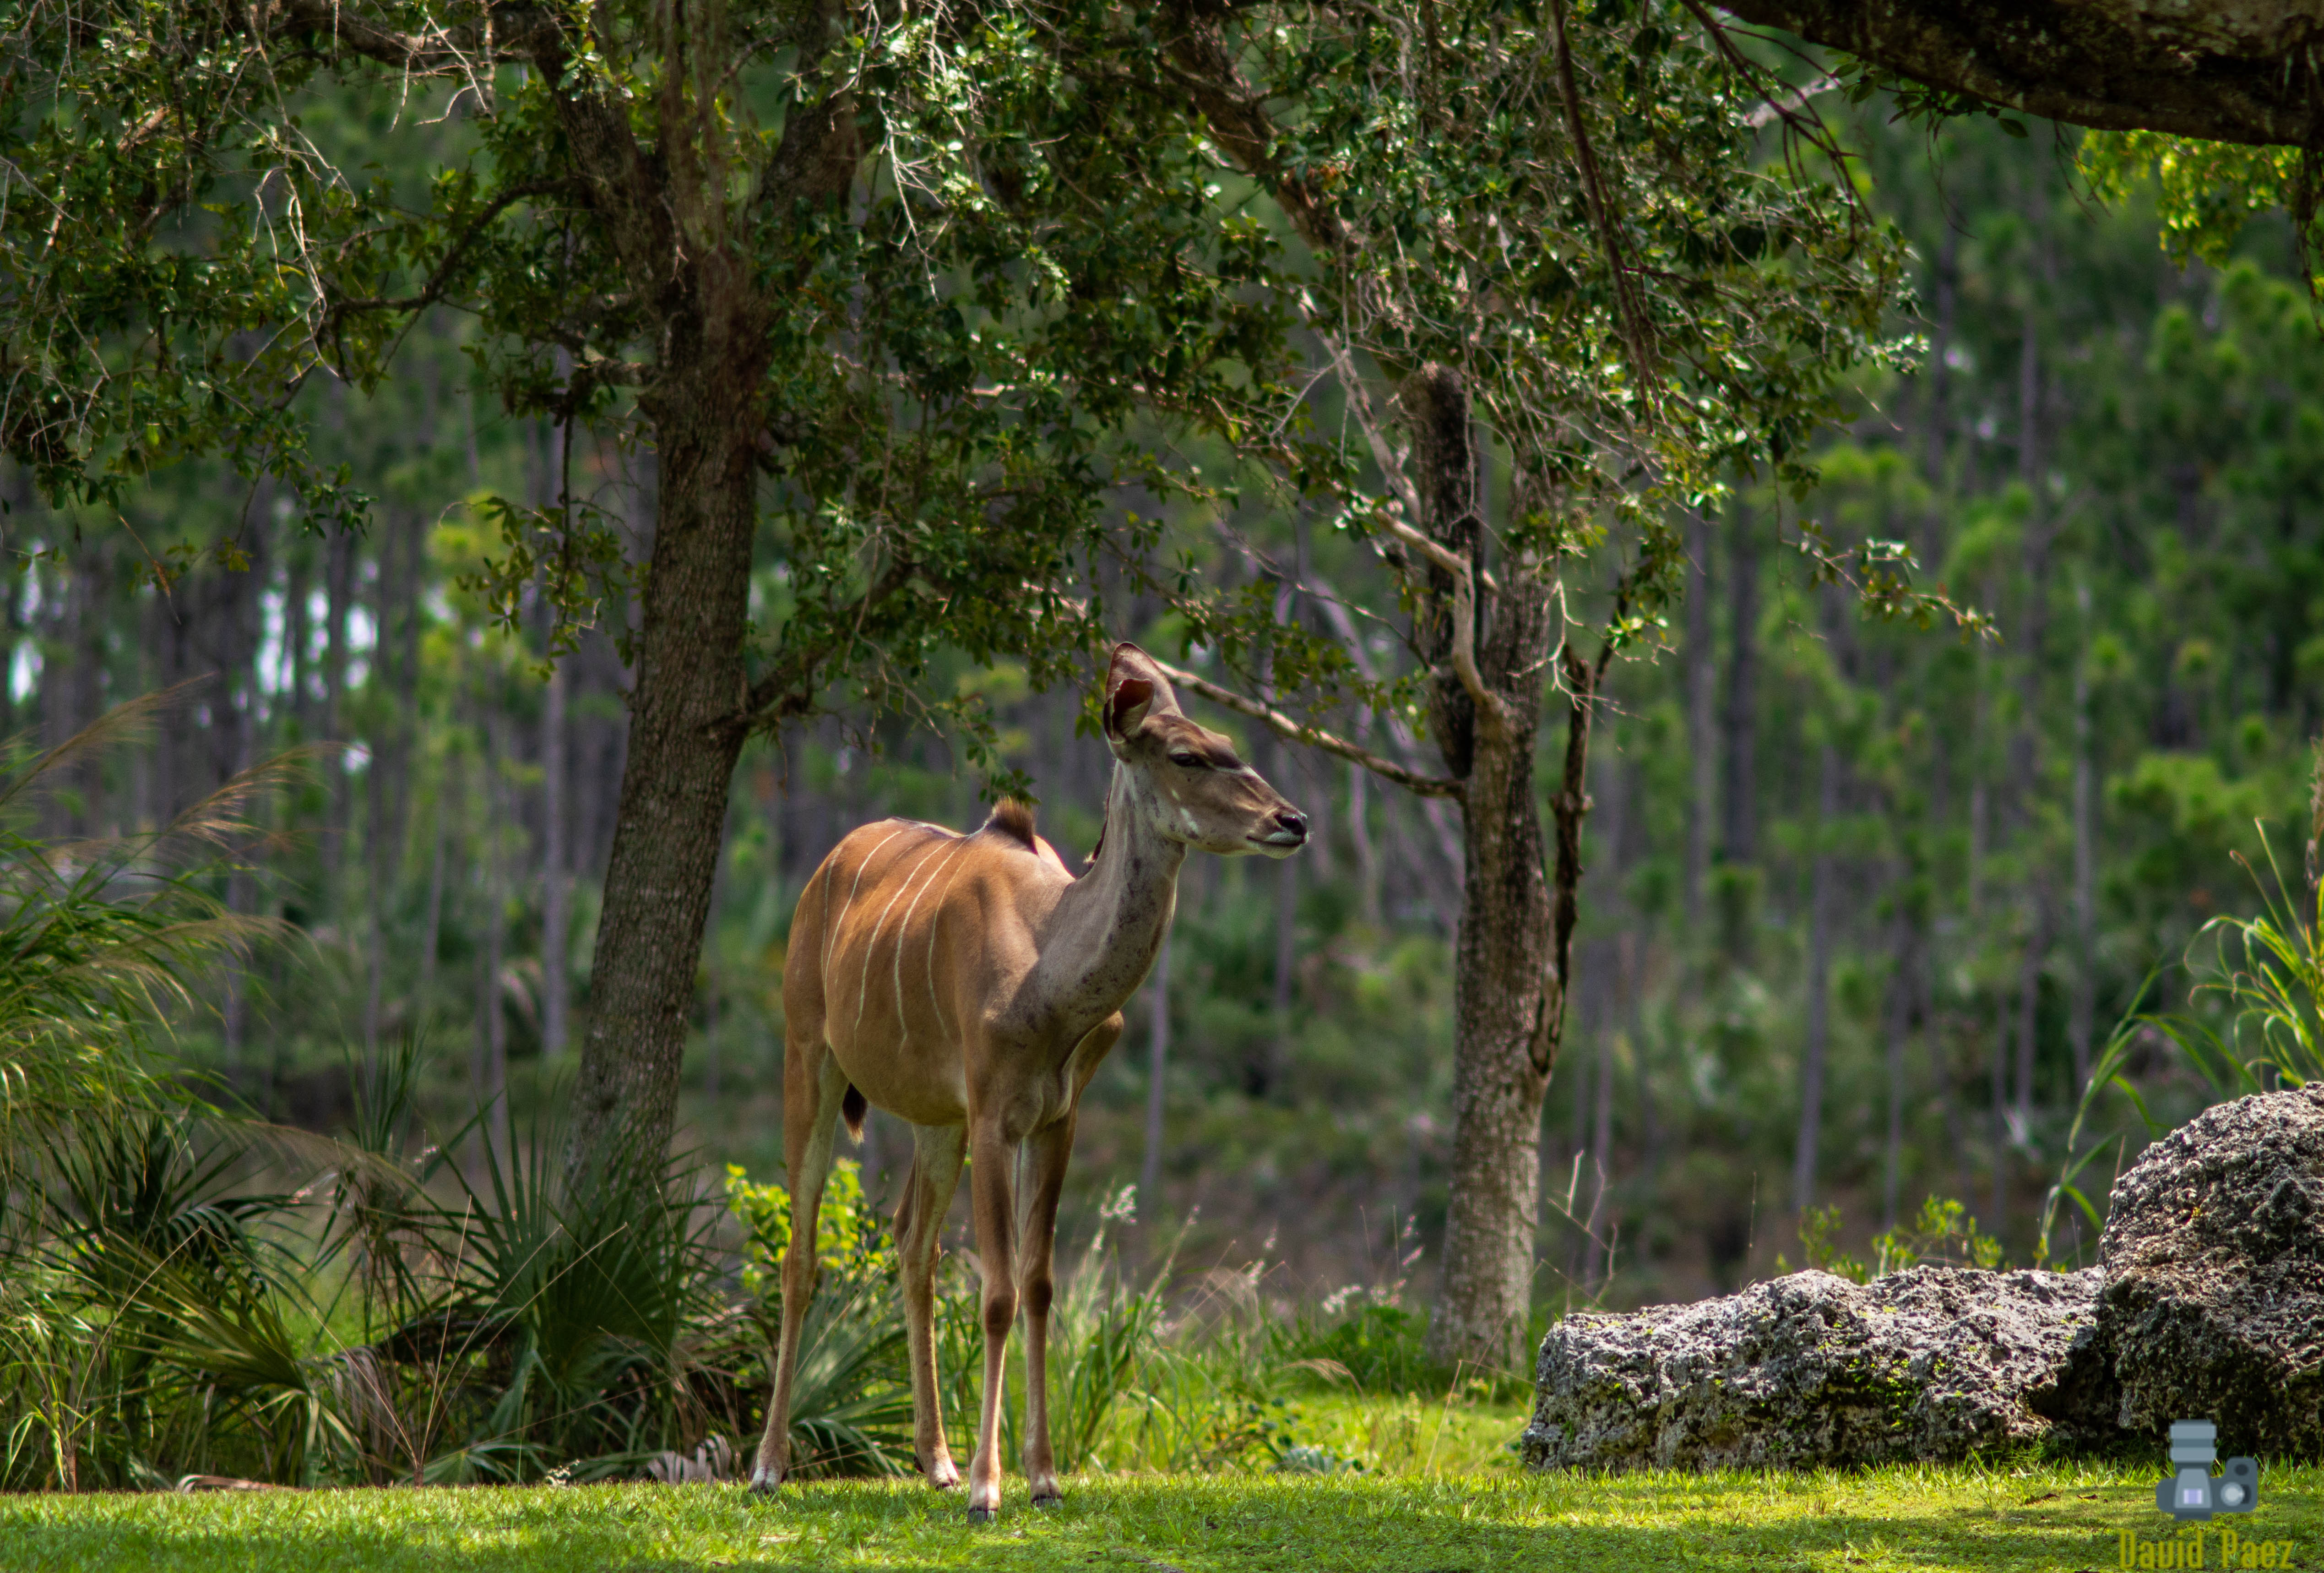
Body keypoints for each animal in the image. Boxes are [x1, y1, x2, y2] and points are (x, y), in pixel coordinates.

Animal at [748, 646, 1310, 1515]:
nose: (1293, 821)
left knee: (913, 1244)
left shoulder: (1052, 1117)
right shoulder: (992, 1113)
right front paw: (991, 1487)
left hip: (933, 1116)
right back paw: (771, 1466)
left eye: (1229, 741)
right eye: (1187, 755)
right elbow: (1000, 1292)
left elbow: (1041, 1283)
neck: (1051, 974)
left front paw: (1041, 1476)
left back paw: (935, 1461)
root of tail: (818, 877)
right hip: (811, 1054)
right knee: (801, 1256)